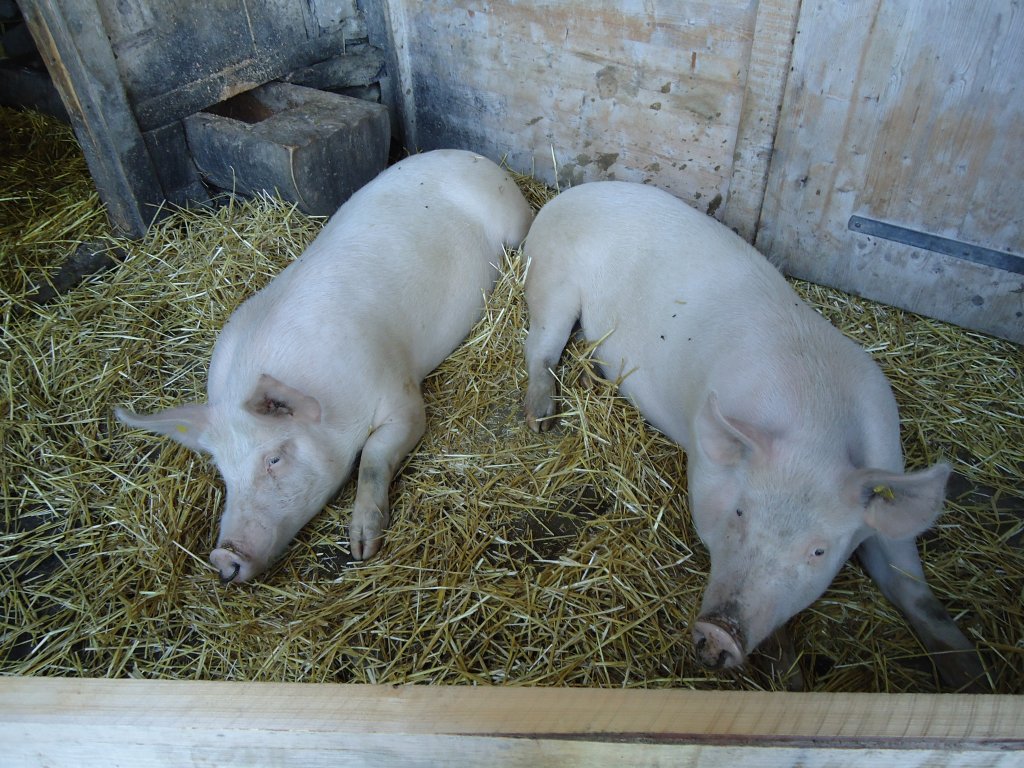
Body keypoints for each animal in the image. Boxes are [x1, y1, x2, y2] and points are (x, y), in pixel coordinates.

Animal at [118, 148, 532, 581]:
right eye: (225, 474)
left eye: (274, 459)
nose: (223, 557)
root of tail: (475, 157)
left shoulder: (399, 394)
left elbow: (373, 455)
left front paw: (362, 548)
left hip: (514, 220)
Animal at [528, 180, 983, 692]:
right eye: (741, 511)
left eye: (818, 550)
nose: (720, 632)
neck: (816, 431)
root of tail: (566, 196)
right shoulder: (705, 473)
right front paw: (790, 675)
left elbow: (912, 585)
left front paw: (974, 674)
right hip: (552, 280)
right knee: (539, 346)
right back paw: (541, 418)